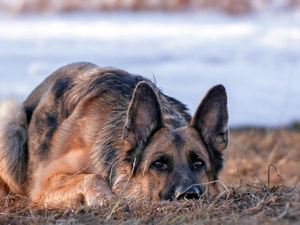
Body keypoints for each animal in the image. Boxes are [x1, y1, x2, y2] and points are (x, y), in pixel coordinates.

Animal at [0, 62, 227, 207]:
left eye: (199, 163)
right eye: (158, 164)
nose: (188, 195)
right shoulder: (46, 183)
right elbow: (92, 178)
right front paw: (106, 200)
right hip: (10, 117)